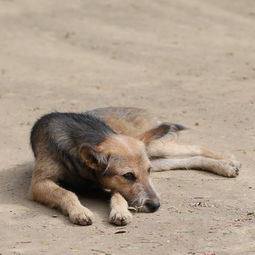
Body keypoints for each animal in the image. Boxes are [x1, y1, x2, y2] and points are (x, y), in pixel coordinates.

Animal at [28, 106, 241, 226]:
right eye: (128, 175)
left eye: (147, 172)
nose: (155, 206)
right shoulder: (39, 183)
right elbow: (66, 193)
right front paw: (79, 211)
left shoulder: (109, 184)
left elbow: (118, 195)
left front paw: (120, 211)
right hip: (156, 155)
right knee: (189, 159)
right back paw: (225, 166)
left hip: (154, 147)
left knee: (195, 147)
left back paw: (227, 159)